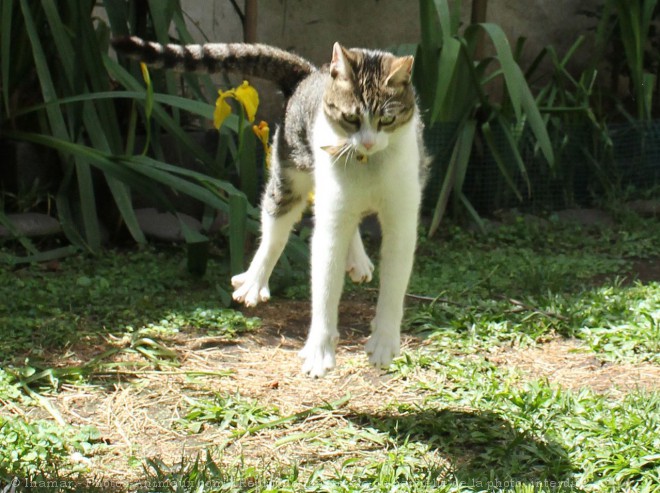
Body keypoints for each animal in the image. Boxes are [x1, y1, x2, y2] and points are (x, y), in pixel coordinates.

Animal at [112, 36, 428, 376]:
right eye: (351, 118)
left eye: (387, 119)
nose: (367, 142)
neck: (367, 164)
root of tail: (309, 74)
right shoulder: (331, 214)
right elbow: (325, 285)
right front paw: (319, 351)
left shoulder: (402, 220)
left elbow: (393, 286)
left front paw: (384, 342)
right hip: (289, 179)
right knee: (275, 232)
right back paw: (254, 281)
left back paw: (357, 260)